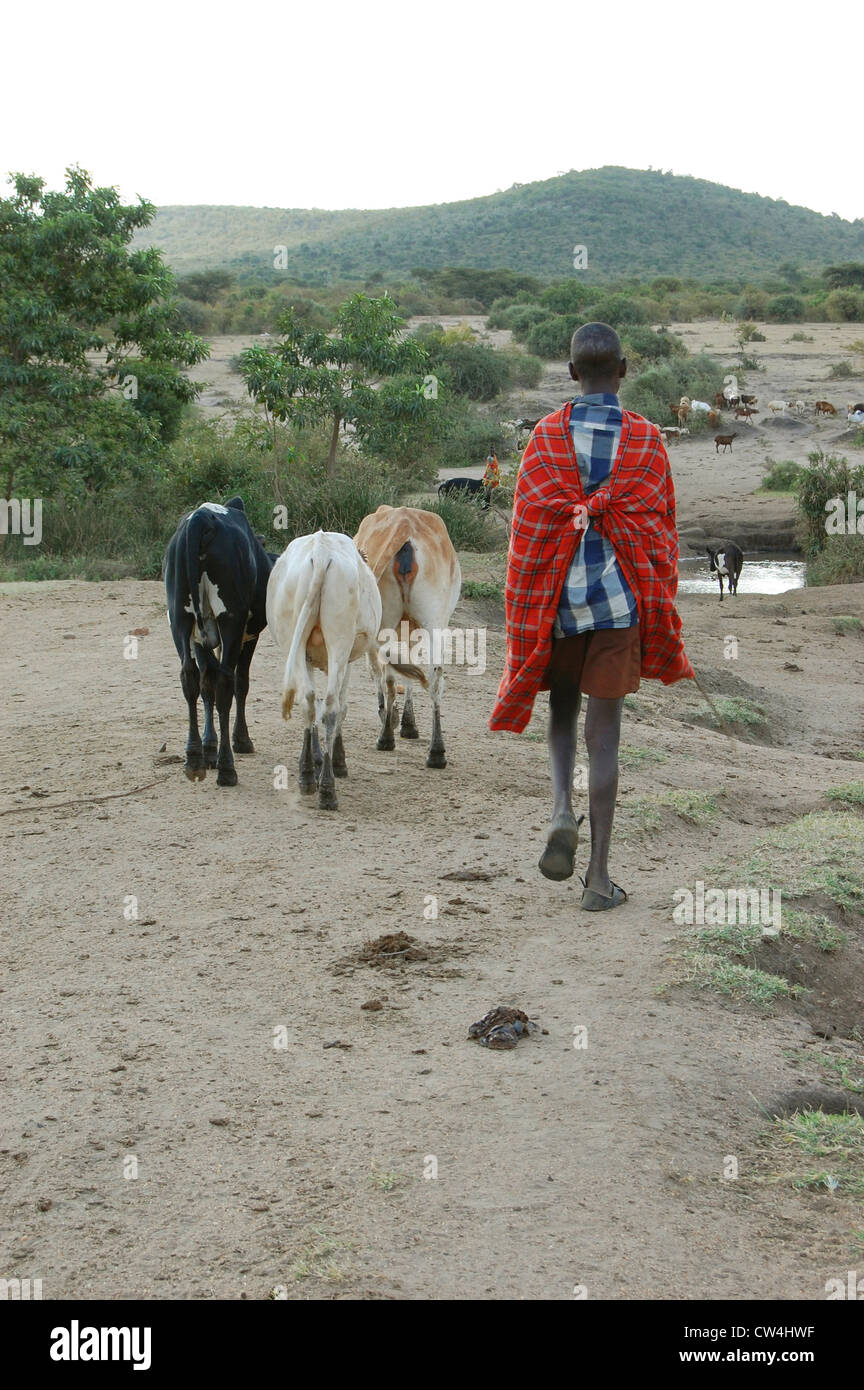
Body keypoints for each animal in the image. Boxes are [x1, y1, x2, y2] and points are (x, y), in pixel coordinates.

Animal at [165, 497, 277, 783]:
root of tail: (202, 518)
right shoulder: (249, 635)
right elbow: (240, 683)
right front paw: (241, 740)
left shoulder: (199, 639)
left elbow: (206, 685)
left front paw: (208, 747)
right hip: (231, 622)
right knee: (226, 683)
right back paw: (227, 768)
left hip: (180, 619)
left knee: (191, 677)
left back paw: (194, 757)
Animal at [355, 505, 463, 772]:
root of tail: (403, 525)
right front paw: (408, 723)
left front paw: (395, 719)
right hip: (434, 622)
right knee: (433, 677)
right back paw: (436, 752)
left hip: (388, 623)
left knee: (388, 675)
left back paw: (386, 736)